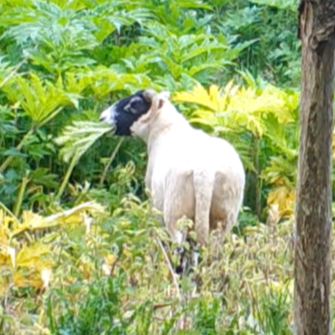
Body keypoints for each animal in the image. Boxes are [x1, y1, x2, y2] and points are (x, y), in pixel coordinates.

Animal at [100, 89, 247, 268]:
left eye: (134, 104)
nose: (102, 117)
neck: (166, 128)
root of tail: (205, 170)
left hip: (176, 210)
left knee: (179, 248)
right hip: (224, 215)